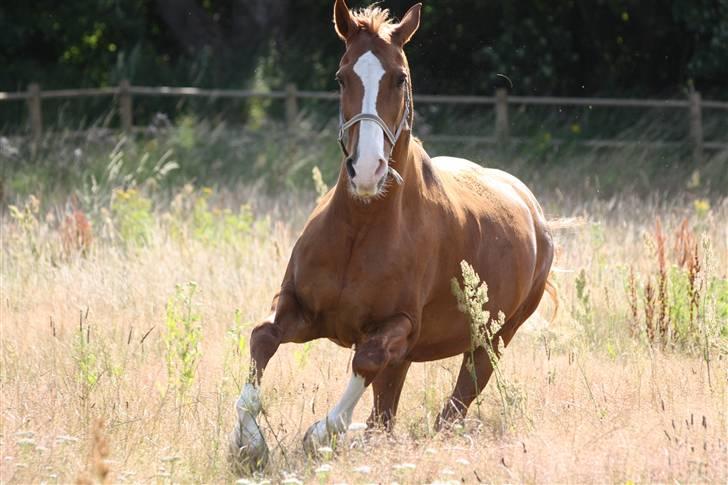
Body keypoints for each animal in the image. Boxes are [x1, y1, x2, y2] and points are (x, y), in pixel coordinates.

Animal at [229, 0, 555, 470]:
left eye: (399, 77)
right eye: (341, 76)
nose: (367, 170)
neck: (361, 229)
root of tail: (532, 209)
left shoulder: (395, 325)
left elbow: (364, 362)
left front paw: (322, 434)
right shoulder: (299, 308)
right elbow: (262, 338)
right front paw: (248, 442)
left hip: (493, 338)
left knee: (452, 406)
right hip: (412, 354)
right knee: (386, 412)